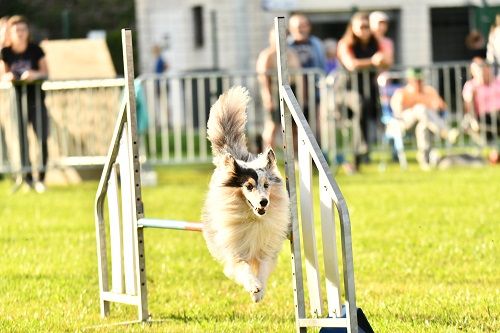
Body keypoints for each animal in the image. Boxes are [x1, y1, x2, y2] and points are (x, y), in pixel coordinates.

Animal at [202, 85, 290, 300]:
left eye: (266, 185)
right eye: (248, 186)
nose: (264, 202)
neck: (253, 220)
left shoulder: (267, 247)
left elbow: (264, 267)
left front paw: (260, 292)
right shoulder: (234, 250)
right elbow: (243, 267)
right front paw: (254, 286)